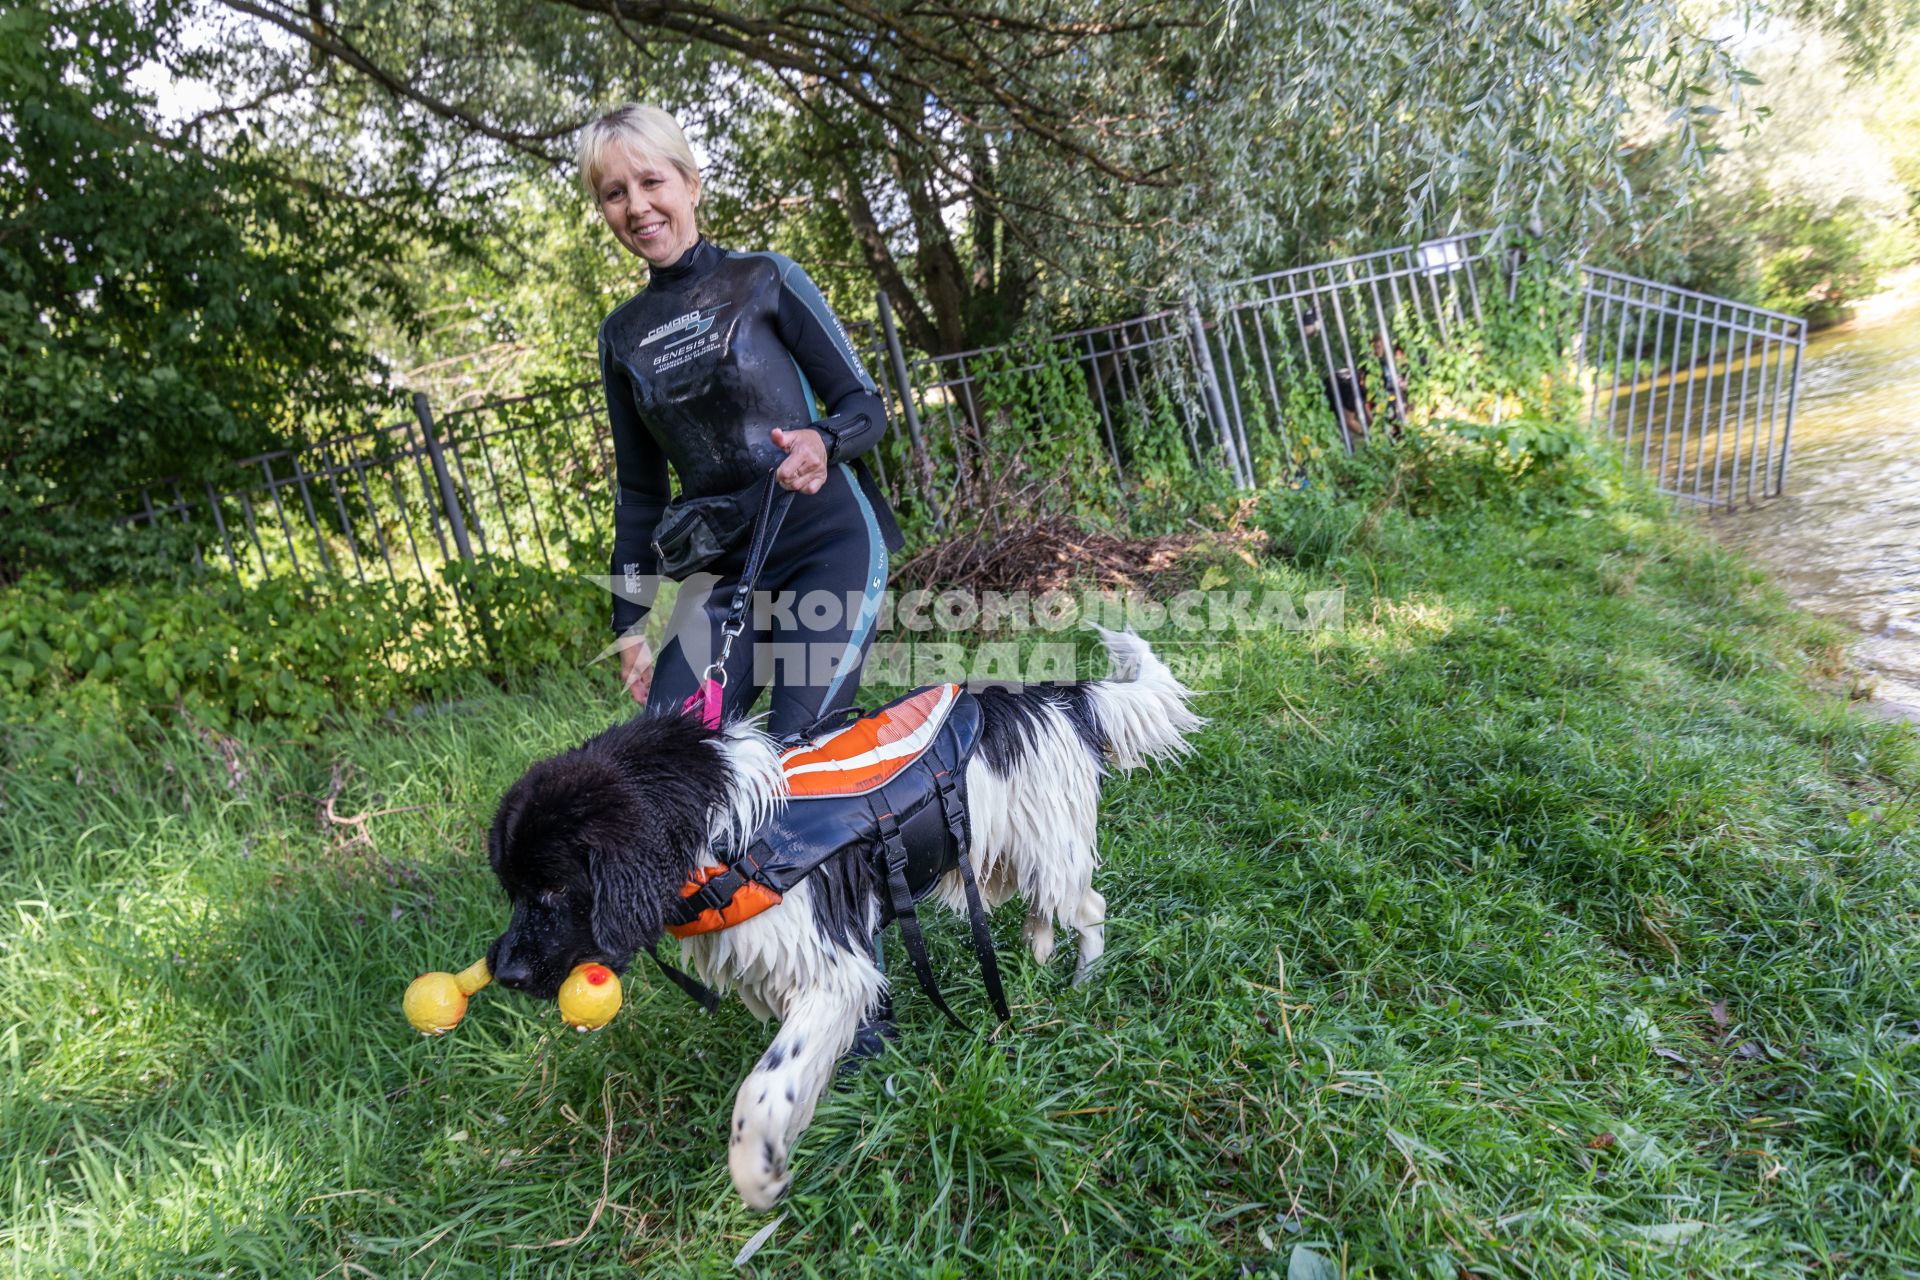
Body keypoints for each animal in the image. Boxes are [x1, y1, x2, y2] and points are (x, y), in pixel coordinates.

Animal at [480, 629, 1198, 1212]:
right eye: (512, 889)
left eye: (554, 888)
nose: (504, 971)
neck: (718, 832)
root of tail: (1058, 697)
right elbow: (796, 1074)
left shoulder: (833, 972)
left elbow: (765, 1086)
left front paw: (757, 1173)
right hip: (1001, 854)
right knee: (1037, 908)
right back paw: (1037, 958)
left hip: (1048, 845)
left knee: (1087, 906)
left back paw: (1082, 980)